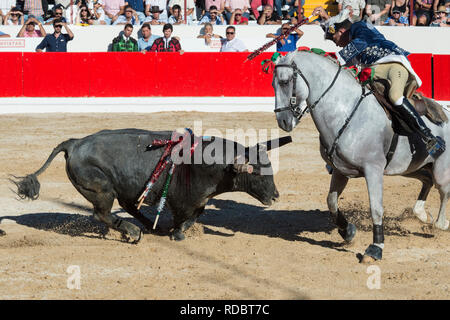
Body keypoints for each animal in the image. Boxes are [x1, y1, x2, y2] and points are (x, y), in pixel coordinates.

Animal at [11, 129, 292, 242]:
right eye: (259, 173)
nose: (275, 196)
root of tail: (74, 143)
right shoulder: (183, 202)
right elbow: (184, 219)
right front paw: (177, 234)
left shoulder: (197, 202)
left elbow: (193, 217)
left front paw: (173, 231)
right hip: (102, 191)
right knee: (102, 213)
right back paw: (133, 232)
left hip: (123, 189)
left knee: (127, 207)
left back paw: (145, 226)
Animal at [272, 48, 448, 262]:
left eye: (284, 81)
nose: (282, 121)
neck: (345, 110)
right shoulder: (340, 170)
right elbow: (331, 201)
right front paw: (347, 232)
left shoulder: (373, 170)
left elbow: (376, 208)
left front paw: (375, 248)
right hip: (410, 167)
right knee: (427, 180)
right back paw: (421, 214)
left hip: (440, 169)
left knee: (443, 190)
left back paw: (440, 224)